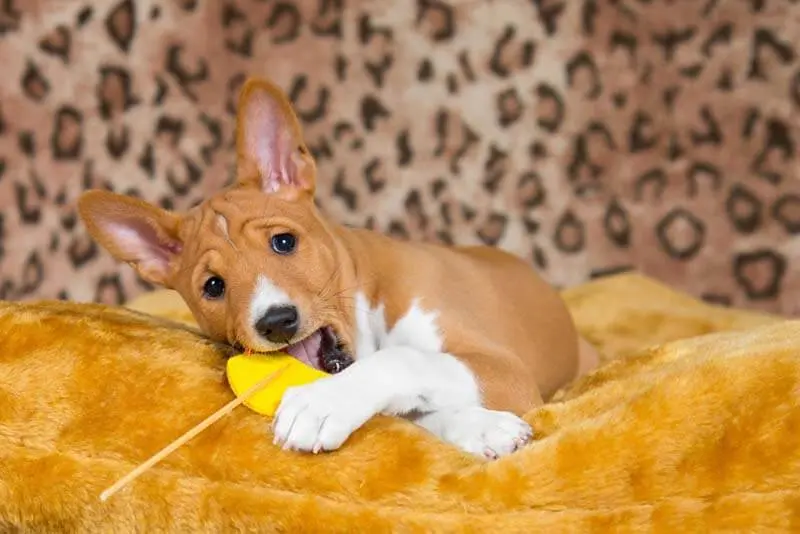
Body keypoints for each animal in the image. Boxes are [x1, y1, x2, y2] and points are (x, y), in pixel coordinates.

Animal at [78, 77, 596, 462]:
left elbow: (405, 360)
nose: (276, 321)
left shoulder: (505, 371)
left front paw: (324, 402)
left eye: (283, 241)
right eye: (213, 286)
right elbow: (419, 416)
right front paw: (481, 426)